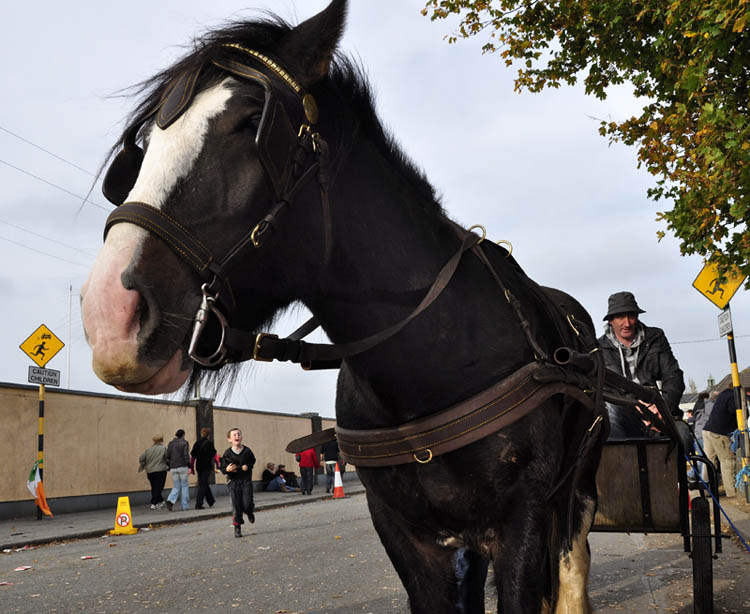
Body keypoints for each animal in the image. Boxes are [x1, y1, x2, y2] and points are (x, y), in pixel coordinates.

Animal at [82, 2, 608, 612]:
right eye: (142, 150)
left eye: (251, 122)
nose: (109, 315)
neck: (432, 366)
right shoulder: (406, 533)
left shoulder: (521, 518)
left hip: (576, 483)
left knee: (572, 556)